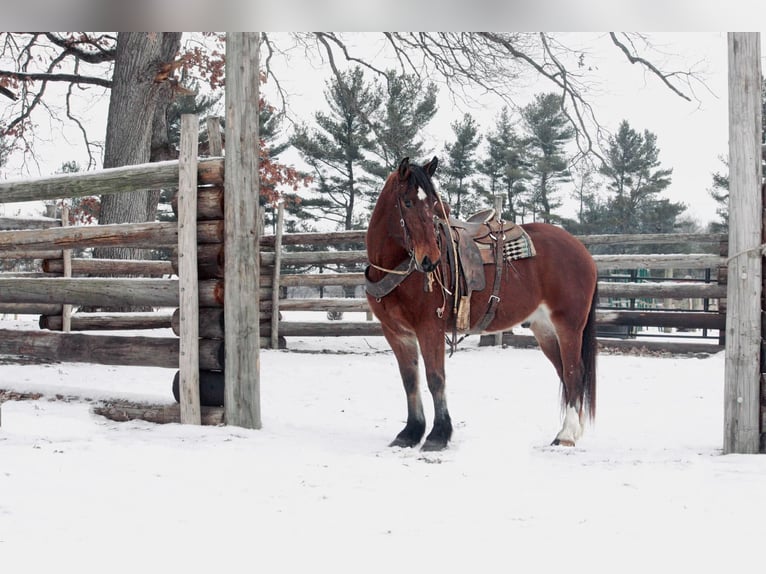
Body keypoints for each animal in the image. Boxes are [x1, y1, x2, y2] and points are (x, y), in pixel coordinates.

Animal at [366, 159, 600, 454]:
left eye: (434, 204)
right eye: (407, 202)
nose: (430, 259)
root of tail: (582, 251)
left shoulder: (429, 328)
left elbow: (435, 378)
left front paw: (438, 435)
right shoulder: (396, 333)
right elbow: (410, 380)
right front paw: (410, 433)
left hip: (568, 325)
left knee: (573, 372)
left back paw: (566, 434)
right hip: (545, 329)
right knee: (566, 374)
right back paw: (572, 430)